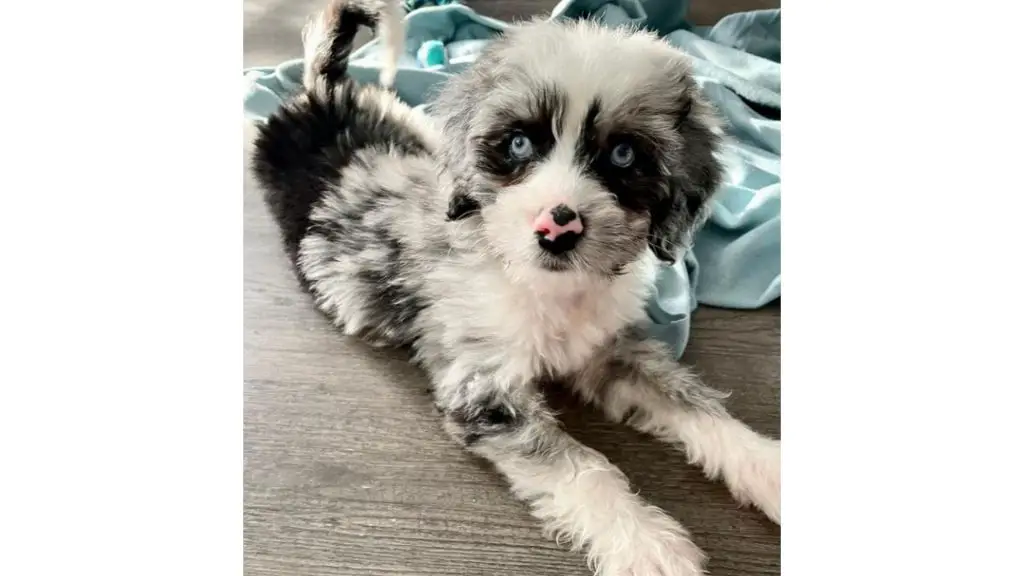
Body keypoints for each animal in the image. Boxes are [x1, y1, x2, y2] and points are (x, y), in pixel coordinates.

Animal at [251, 2, 778, 569]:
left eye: (623, 155)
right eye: (519, 143)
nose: (558, 229)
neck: (541, 285)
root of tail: (321, 94)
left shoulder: (610, 351)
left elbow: (691, 403)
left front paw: (767, 468)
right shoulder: (483, 389)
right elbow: (580, 468)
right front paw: (647, 544)